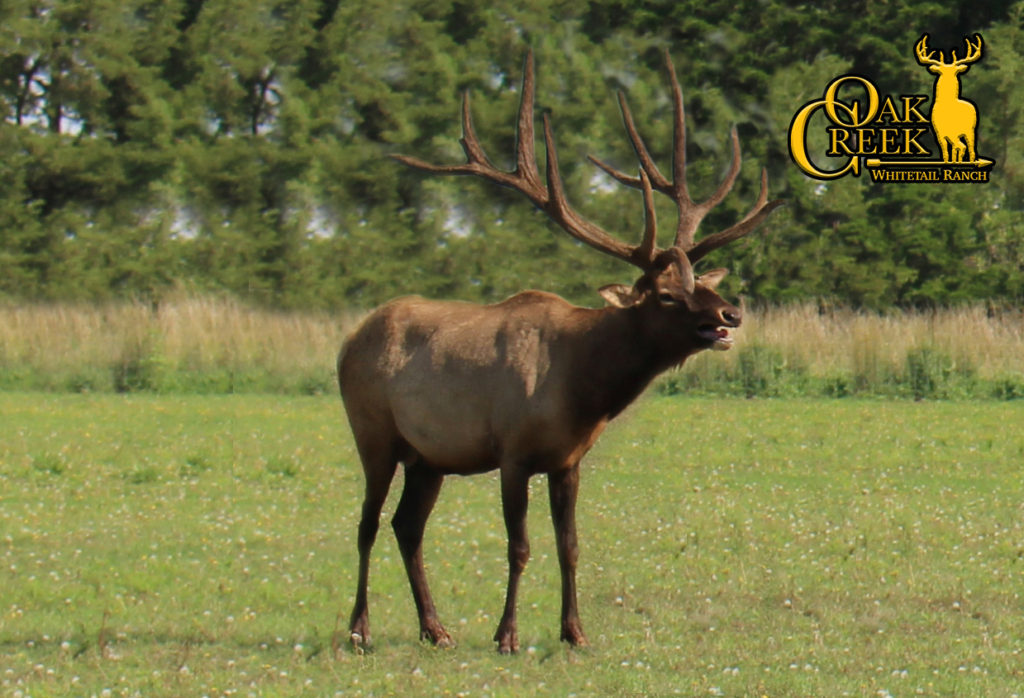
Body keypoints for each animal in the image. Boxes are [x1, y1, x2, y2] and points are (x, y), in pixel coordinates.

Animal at [337, 49, 783, 654]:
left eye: (705, 285)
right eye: (667, 294)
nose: (730, 314)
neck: (584, 388)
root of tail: (348, 340)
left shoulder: (569, 460)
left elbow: (569, 545)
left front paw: (574, 632)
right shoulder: (512, 452)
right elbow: (519, 547)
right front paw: (507, 635)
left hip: (429, 457)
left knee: (407, 526)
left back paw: (435, 628)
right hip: (374, 434)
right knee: (367, 523)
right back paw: (359, 628)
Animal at [914, 34, 983, 164]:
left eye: (955, 71)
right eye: (941, 71)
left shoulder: (945, 132)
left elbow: (952, 150)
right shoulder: (941, 132)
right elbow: (948, 151)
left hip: (966, 130)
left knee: (966, 148)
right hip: (965, 131)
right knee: (964, 147)